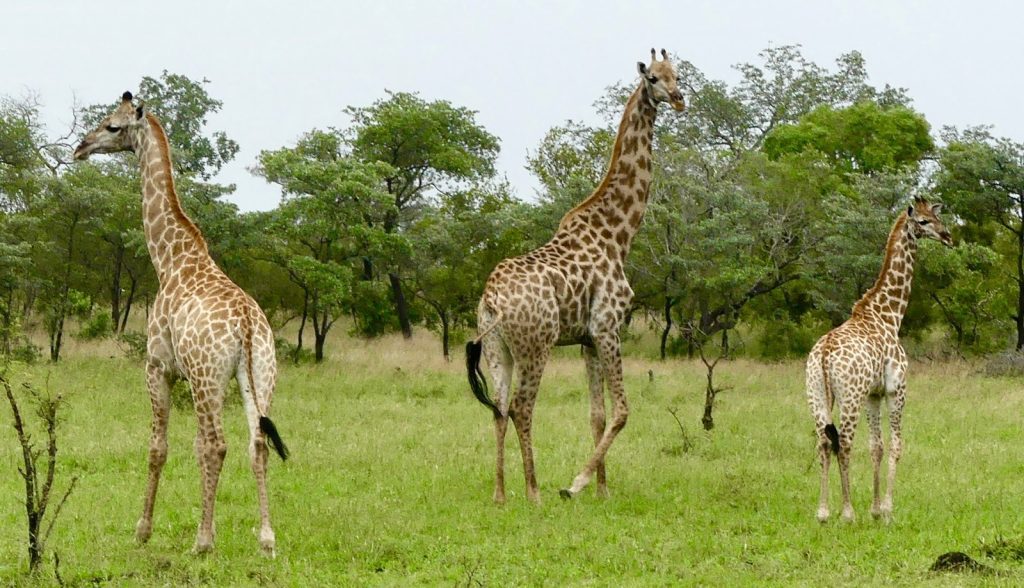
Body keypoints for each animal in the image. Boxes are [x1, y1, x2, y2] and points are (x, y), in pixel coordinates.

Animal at [73, 92, 288, 555]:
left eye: (112, 125)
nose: (81, 147)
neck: (169, 259)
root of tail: (247, 324)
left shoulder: (158, 367)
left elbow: (158, 447)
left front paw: (142, 530)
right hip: (261, 374)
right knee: (257, 441)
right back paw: (266, 540)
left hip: (207, 378)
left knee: (216, 444)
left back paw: (203, 541)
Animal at [466, 49, 685, 503]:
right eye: (653, 79)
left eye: (679, 74)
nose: (678, 99)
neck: (619, 234)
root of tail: (491, 298)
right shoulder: (607, 326)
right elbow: (622, 411)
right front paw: (576, 484)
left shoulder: (586, 339)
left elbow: (597, 415)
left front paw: (602, 490)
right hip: (537, 344)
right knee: (521, 408)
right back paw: (534, 493)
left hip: (498, 349)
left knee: (498, 407)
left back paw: (500, 494)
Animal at [806, 197, 952, 523]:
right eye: (923, 222)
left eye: (937, 216)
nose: (948, 236)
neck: (889, 315)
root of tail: (823, 355)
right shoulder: (896, 388)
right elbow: (896, 445)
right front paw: (886, 509)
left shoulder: (873, 394)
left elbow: (877, 446)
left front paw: (874, 509)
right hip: (850, 396)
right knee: (844, 443)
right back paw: (847, 512)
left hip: (816, 394)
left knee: (824, 441)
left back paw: (823, 512)